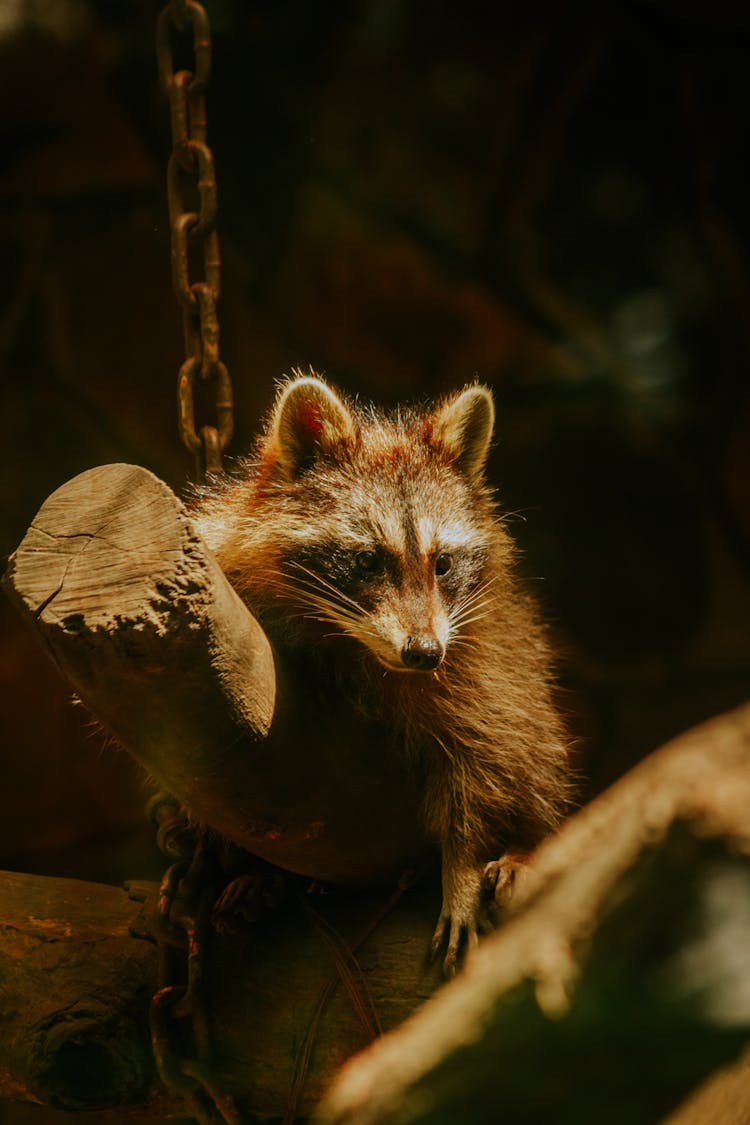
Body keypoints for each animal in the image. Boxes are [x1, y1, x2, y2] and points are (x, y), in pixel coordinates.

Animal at [193, 373, 568, 972]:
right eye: (367, 560)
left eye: (442, 564)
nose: (424, 653)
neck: (349, 640)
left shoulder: (480, 658)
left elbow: (486, 757)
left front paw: (462, 870)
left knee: (534, 752)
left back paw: (525, 846)